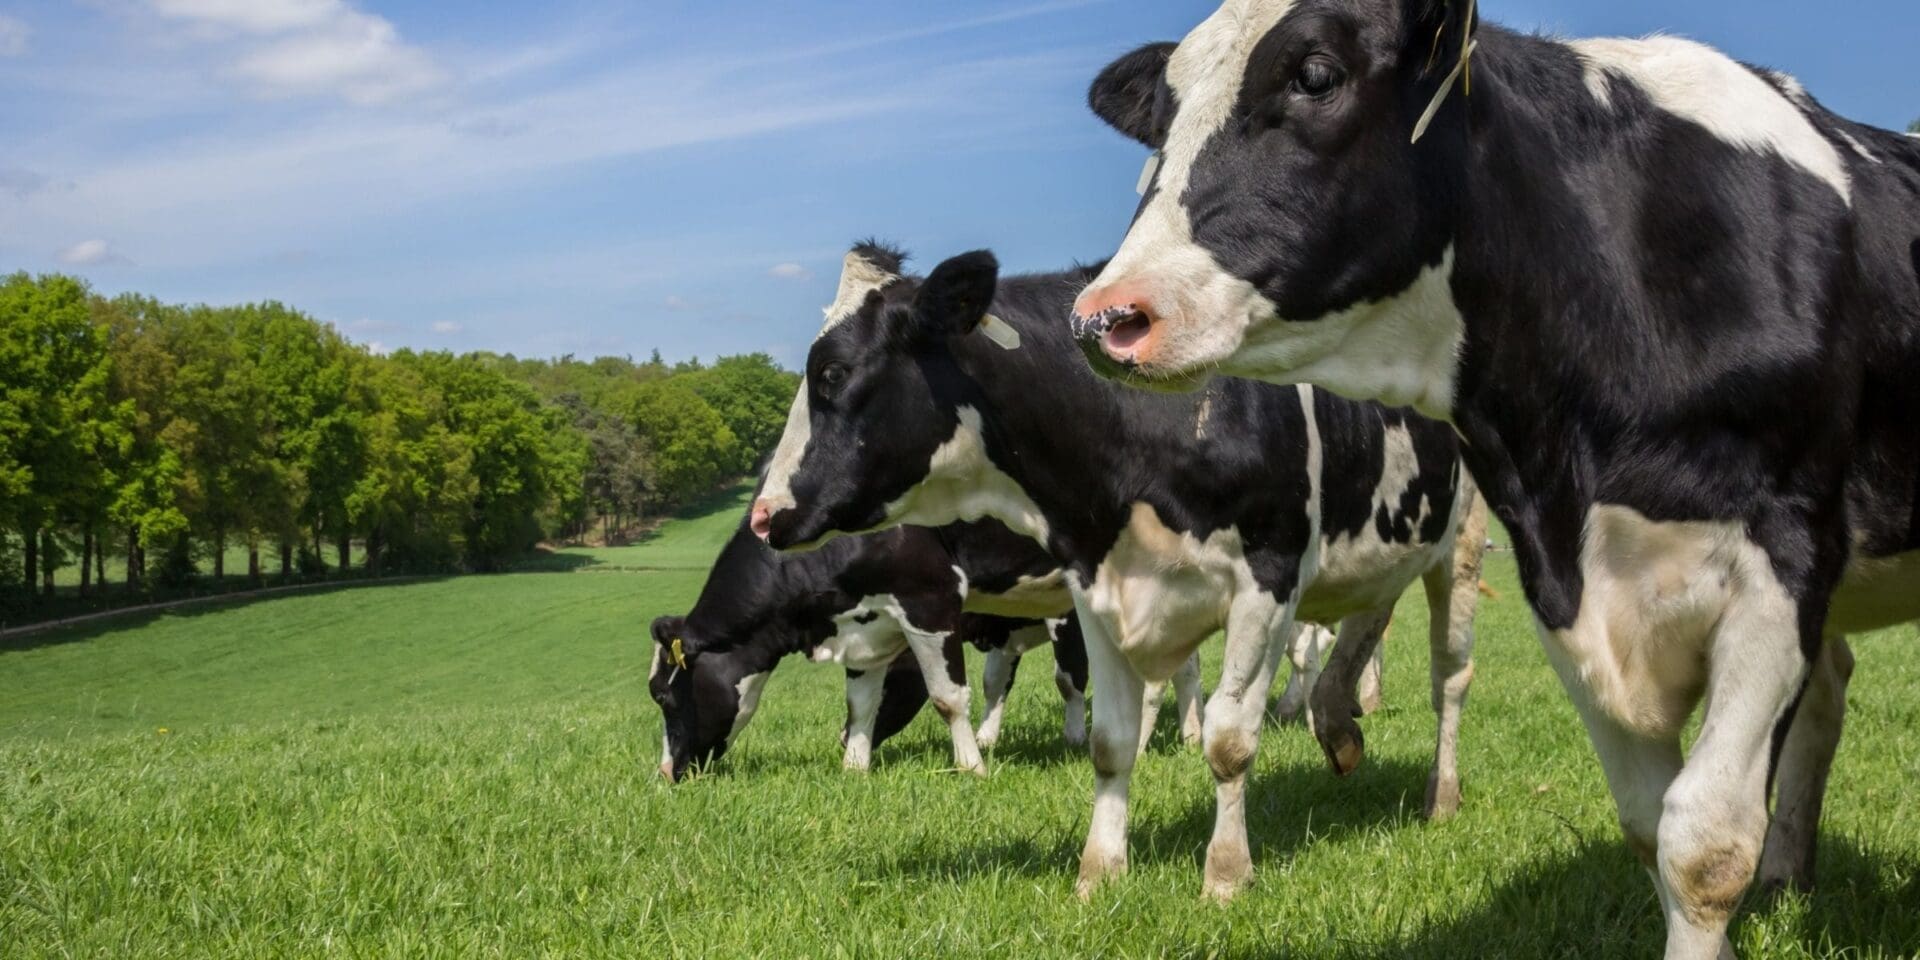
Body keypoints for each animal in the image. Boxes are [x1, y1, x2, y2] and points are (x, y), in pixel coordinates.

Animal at [648, 511, 1205, 781]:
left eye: (665, 696)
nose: (667, 773)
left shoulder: (930, 601)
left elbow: (951, 696)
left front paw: (973, 766)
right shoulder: (864, 622)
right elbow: (861, 703)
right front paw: (854, 766)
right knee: (1187, 668)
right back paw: (1191, 733)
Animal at [749, 243, 1489, 900]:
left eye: (834, 373)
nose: (762, 514)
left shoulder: (1269, 579)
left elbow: (1228, 740)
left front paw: (1225, 875)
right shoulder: (1093, 586)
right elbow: (1110, 743)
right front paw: (1099, 872)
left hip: (1462, 543)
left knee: (1449, 680)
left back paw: (1441, 794)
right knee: (1368, 620)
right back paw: (1338, 729)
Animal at [1069, 3, 1919, 956]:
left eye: (1316, 75)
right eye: (1163, 112)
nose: (1107, 316)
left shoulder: (1781, 565)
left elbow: (1701, 847)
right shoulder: (1560, 578)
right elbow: (1647, 826)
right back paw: (1788, 870)